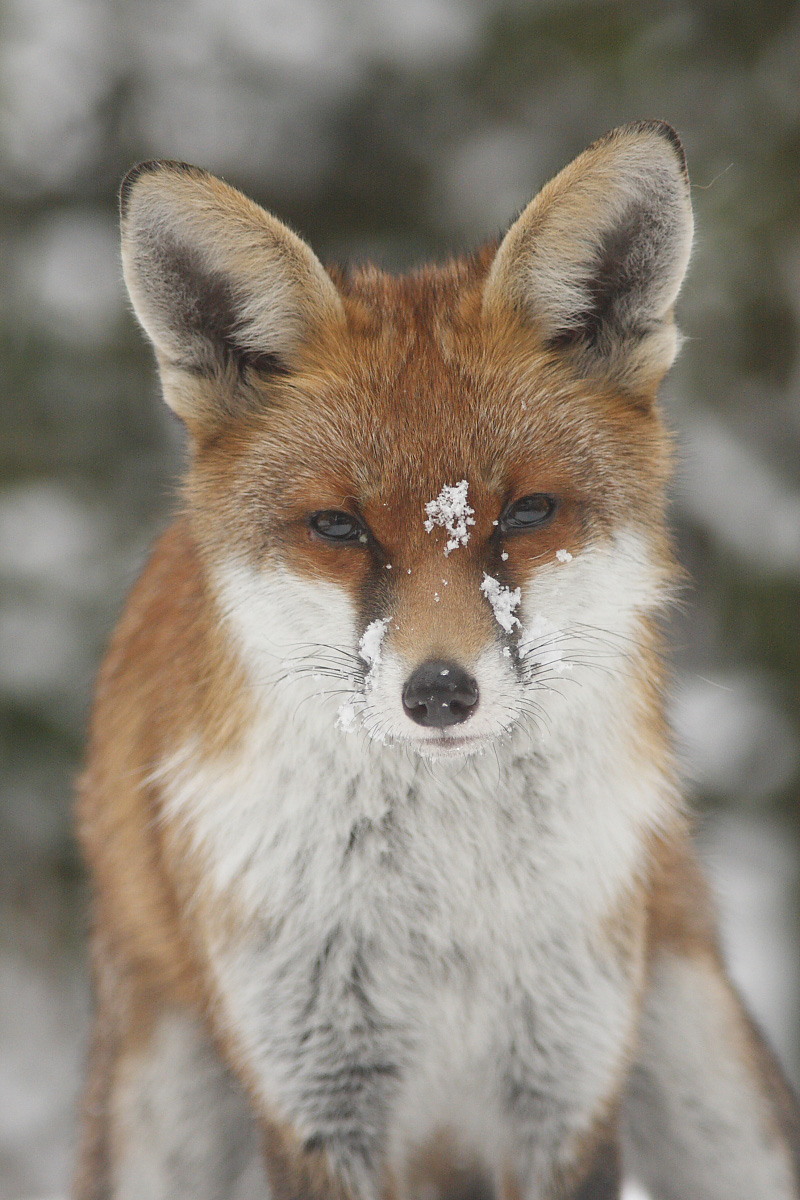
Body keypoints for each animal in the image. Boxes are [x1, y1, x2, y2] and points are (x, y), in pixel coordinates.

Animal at [75, 120, 800, 1200]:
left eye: (527, 513)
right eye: (338, 527)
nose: (440, 693)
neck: (445, 913)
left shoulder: (564, 1097)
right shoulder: (316, 1106)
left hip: (715, 1094)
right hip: (160, 1116)